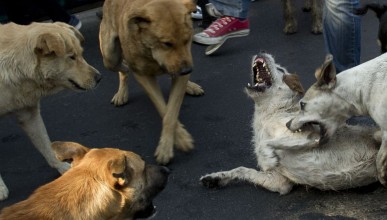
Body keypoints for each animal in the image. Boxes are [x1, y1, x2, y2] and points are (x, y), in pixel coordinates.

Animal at [0, 21, 101, 200]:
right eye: (71, 57)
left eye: (81, 54)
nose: (99, 78)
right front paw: (0, 189)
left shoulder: (29, 115)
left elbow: (46, 145)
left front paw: (62, 167)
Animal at [98, 0, 205, 165]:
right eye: (167, 43)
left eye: (187, 40)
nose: (188, 70)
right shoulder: (143, 75)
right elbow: (163, 109)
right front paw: (177, 140)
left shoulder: (182, 66)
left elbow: (170, 113)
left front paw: (176, 141)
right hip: (109, 57)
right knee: (122, 68)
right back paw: (122, 91)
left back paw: (190, 86)